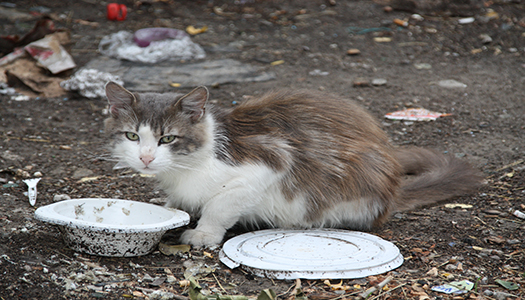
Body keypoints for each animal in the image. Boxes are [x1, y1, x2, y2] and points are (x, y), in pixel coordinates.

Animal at [104, 81, 482, 246]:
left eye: (168, 138)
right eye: (132, 136)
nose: (146, 157)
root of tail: (391, 191)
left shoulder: (268, 161)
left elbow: (221, 205)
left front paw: (203, 233)